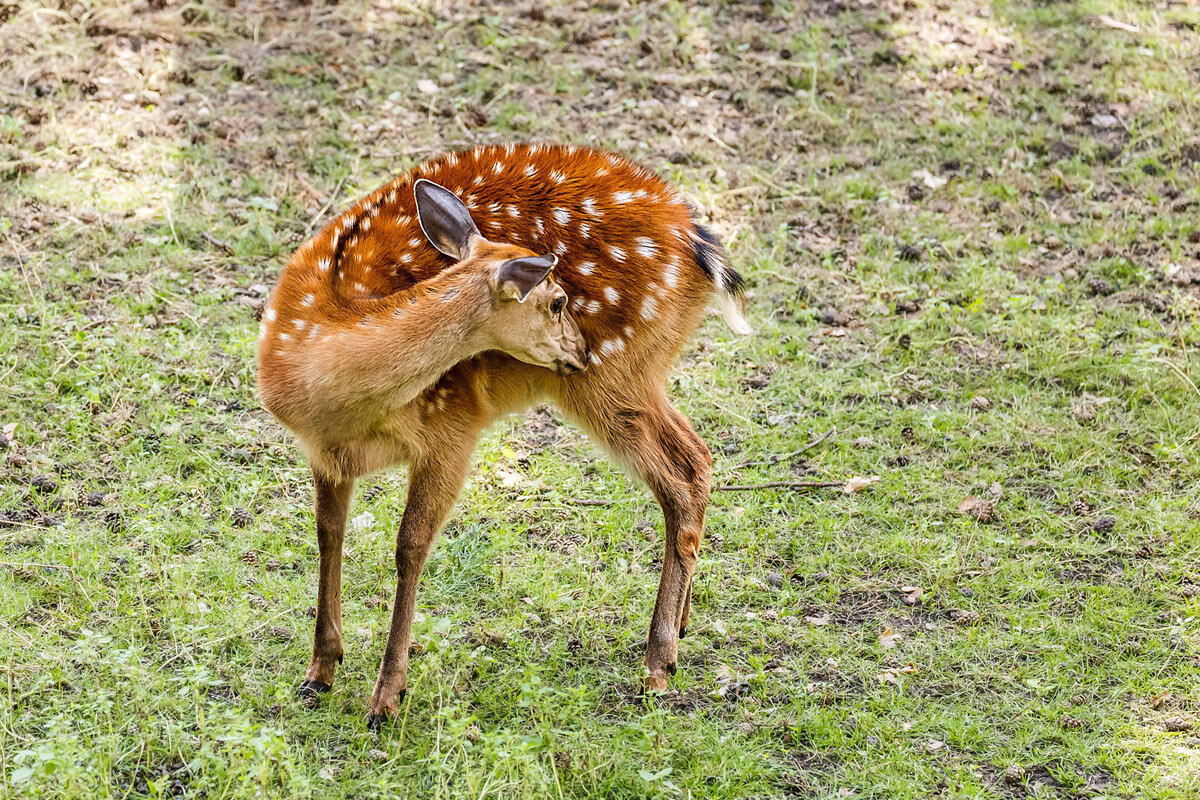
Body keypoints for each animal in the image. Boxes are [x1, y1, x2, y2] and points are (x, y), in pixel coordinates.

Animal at [260, 140, 748, 729]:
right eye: (556, 301)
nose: (580, 348)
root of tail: (698, 244)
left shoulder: (451, 428)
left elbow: (410, 546)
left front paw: (386, 699)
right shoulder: (324, 453)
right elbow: (328, 533)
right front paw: (319, 672)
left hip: (613, 374)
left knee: (680, 477)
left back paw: (656, 665)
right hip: (632, 374)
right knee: (698, 459)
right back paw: (680, 627)